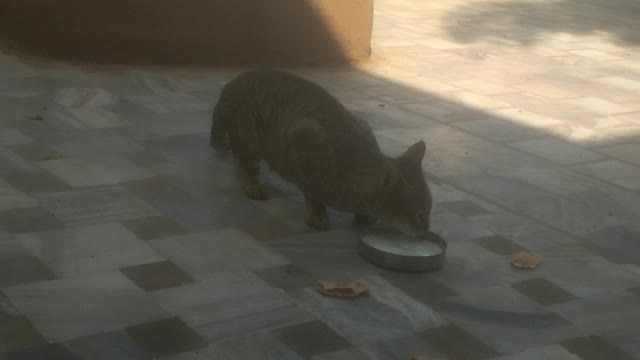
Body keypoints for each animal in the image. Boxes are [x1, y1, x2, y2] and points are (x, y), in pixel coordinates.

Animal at [212, 69, 432, 236]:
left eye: (429, 210)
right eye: (420, 215)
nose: (426, 229)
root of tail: (231, 84)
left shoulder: (362, 125)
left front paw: (364, 214)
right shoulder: (302, 142)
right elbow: (312, 194)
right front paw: (317, 214)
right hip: (252, 135)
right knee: (241, 159)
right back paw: (252, 183)